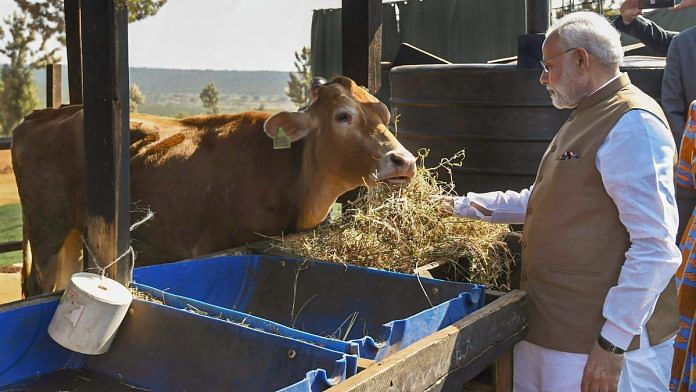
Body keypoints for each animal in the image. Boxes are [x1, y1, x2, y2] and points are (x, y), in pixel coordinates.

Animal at [13, 77, 416, 298]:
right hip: (47, 231)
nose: (405, 161)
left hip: (69, 233)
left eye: (384, 114)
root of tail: (44, 113)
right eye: (343, 116)